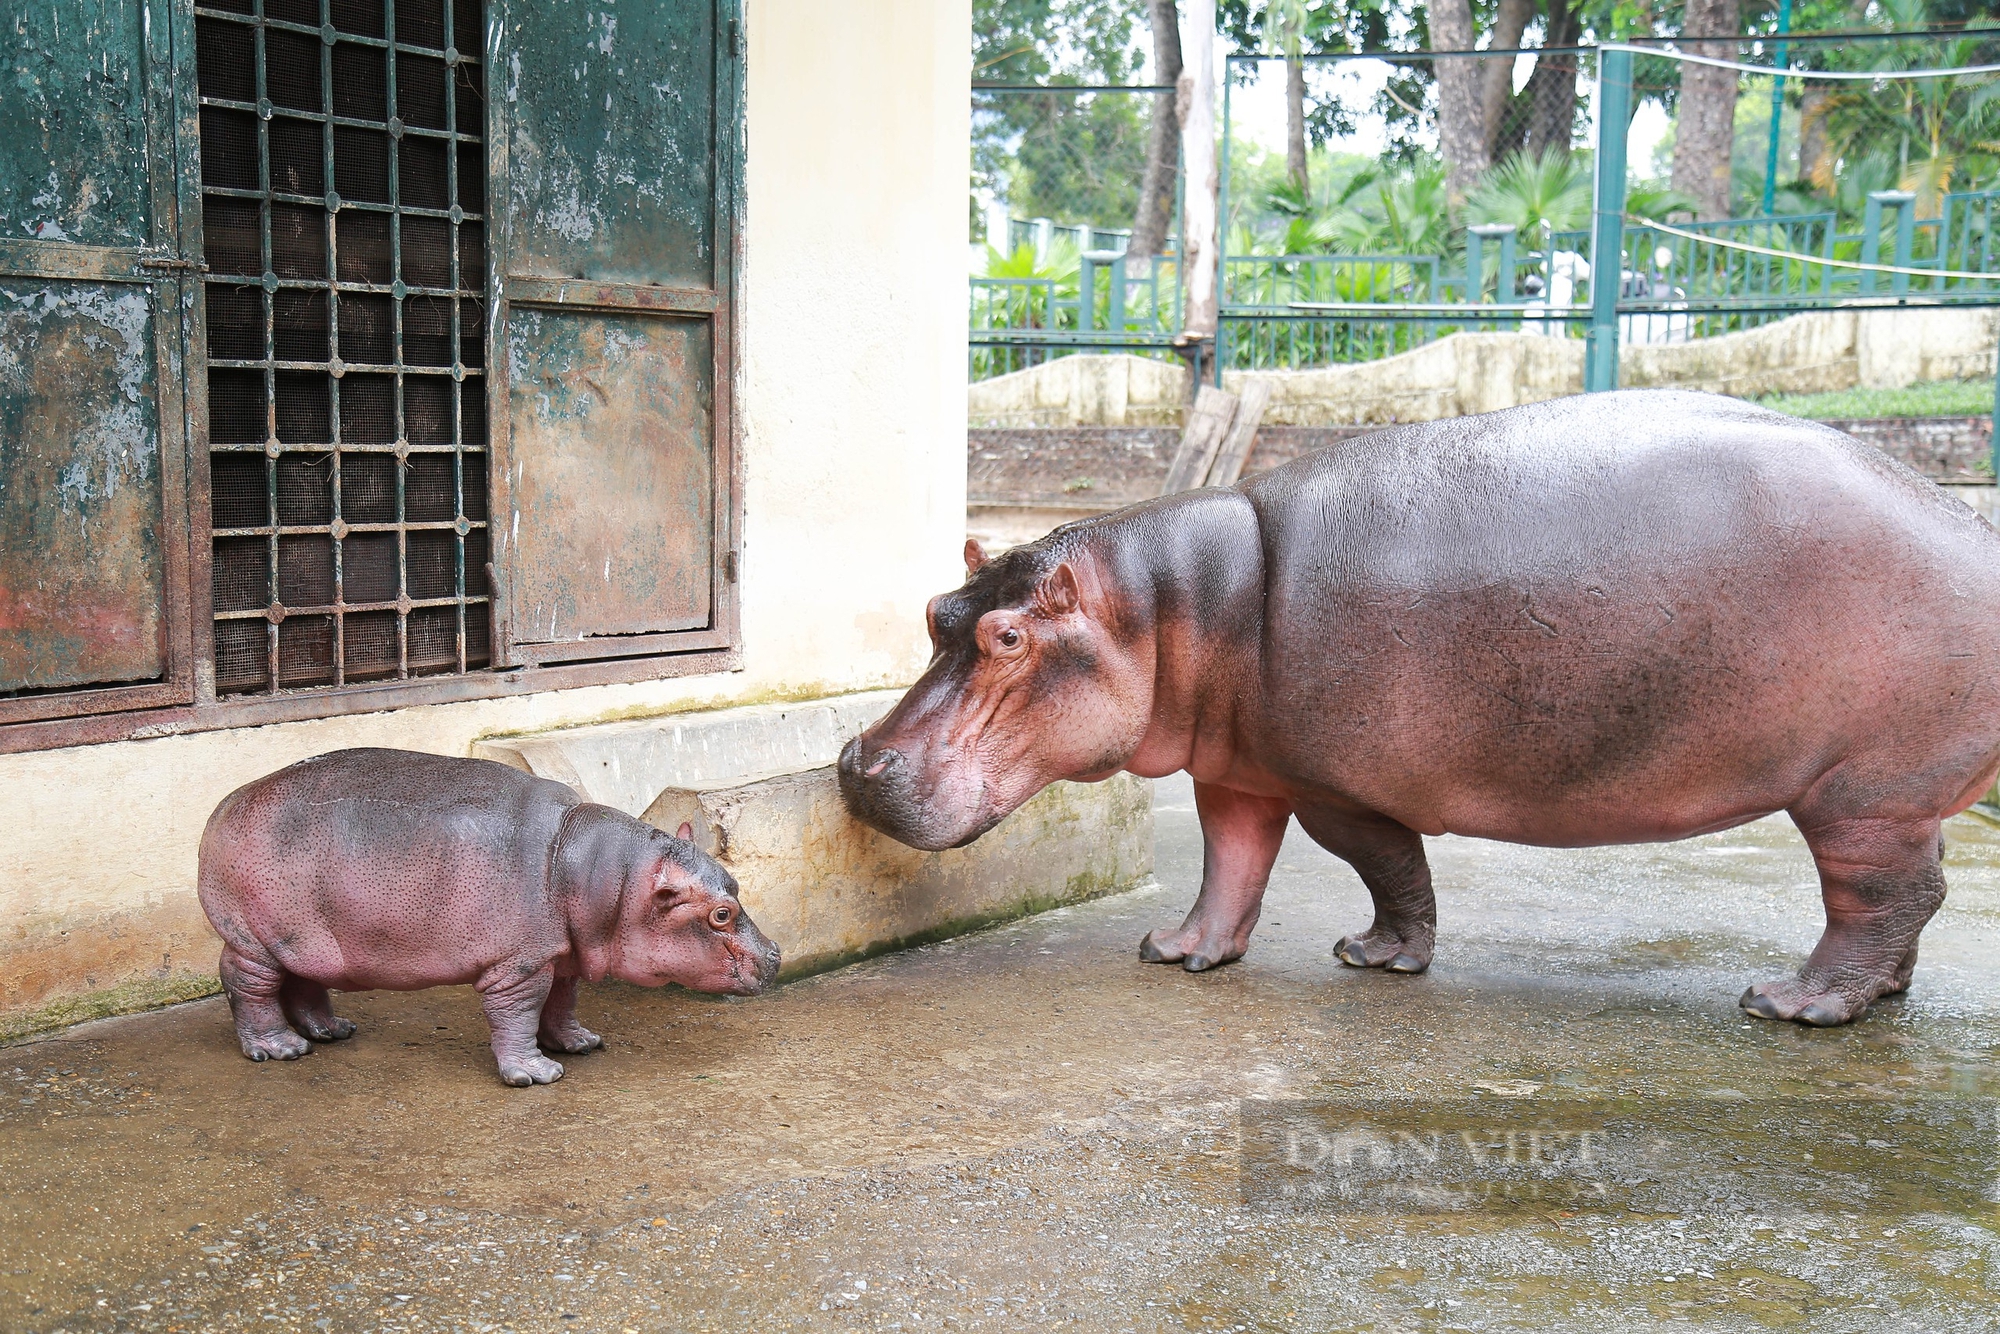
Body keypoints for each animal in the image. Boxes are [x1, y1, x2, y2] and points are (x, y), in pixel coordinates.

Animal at [199, 752, 780, 1088]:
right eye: (721, 914)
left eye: (733, 883)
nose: (775, 955)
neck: (604, 876)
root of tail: (226, 803)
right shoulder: (518, 965)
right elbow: (519, 1013)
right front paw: (536, 1075)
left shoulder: (559, 954)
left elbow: (561, 1002)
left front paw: (579, 1043)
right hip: (254, 939)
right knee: (248, 985)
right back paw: (279, 1049)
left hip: (302, 938)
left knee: (302, 979)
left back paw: (332, 1031)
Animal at [836, 392, 2000, 1032]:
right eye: (937, 610)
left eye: (1007, 640)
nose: (854, 763)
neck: (1171, 606)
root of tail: (1967, 521)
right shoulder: (1240, 772)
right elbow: (1230, 865)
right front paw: (1177, 951)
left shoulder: (1335, 788)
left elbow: (1389, 867)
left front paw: (1375, 957)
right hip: (1896, 795)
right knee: (1916, 890)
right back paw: (1881, 995)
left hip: (1857, 791)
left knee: (1884, 895)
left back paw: (1794, 1005)